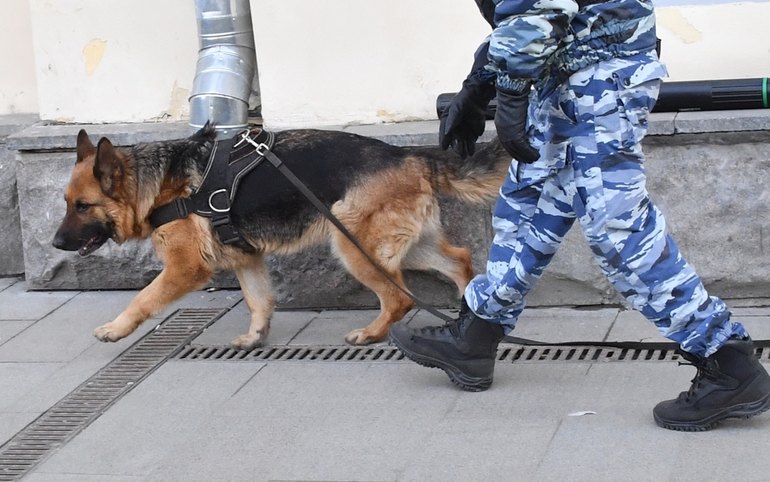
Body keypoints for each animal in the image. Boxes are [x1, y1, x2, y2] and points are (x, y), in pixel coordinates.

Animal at [54, 126, 510, 348]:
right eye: (66, 202)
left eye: (83, 206)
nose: (56, 244)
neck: (155, 183)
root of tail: (409, 155)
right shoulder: (247, 259)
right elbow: (259, 301)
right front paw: (256, 337)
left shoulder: (185, 269)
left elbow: (143, 298)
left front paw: (116, 329)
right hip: (406, 246)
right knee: (461, 260)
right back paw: (471, 313)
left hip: (353, 246)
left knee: (399, 298)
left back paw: (372, 334)